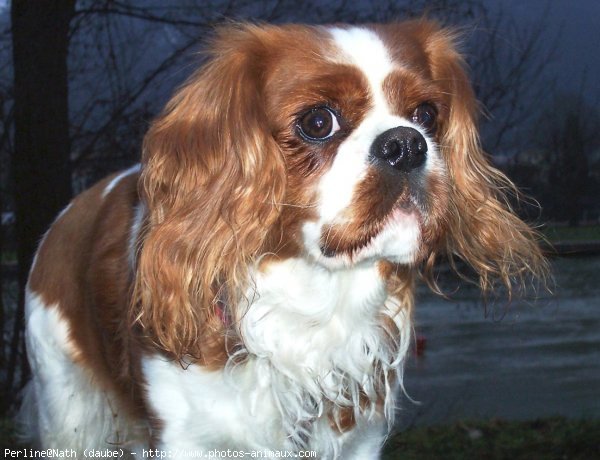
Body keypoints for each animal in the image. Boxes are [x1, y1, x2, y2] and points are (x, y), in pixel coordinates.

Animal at [18, 21, 548, 460]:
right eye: (317, 122)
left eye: (426, 114)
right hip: (68, 410)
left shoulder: (360, 437)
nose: (406, 144)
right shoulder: (187, 438)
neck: (314, 305)